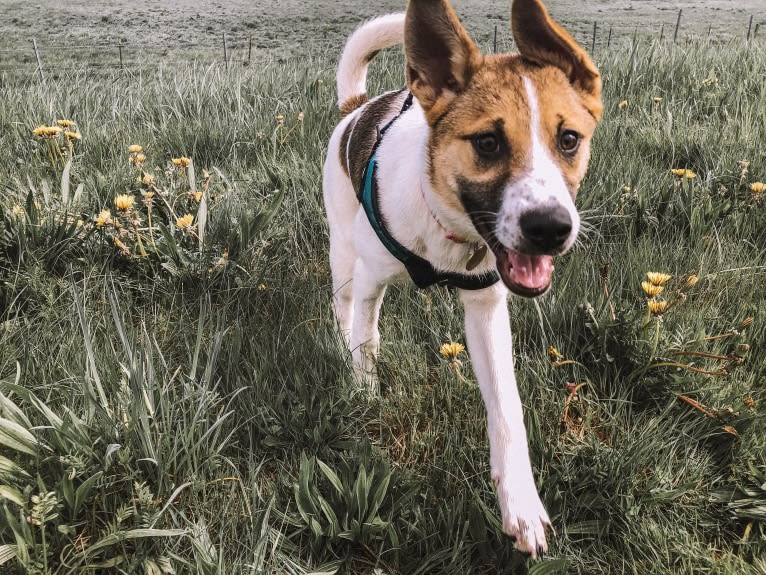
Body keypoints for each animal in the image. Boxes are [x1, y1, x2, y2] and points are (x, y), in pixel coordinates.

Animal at [320, 0, 604, 560]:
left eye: (568, 140)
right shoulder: (369, 281)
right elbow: (365, 342)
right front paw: (363, 391)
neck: (447, 226)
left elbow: (507, 407)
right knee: (344, 309)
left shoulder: (487, 306)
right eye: (488, 143)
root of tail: (355, 109)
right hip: (343, 251)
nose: (550, 228)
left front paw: (520, 502)